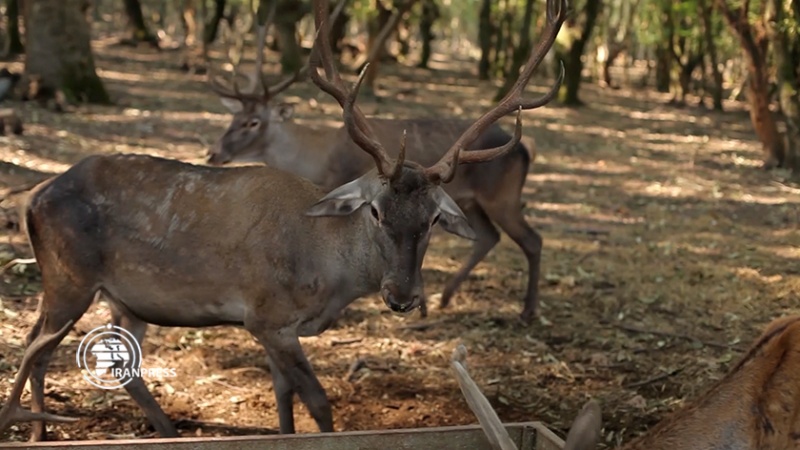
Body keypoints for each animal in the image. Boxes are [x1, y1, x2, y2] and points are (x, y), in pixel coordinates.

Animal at [206, 0, 556, 324]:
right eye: (233, 117)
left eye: (252, 122)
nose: (213, 152)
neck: (317, 159)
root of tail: (526, 148)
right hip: (472, 202)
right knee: (487, 237)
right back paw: (445, 298)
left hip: (503, 196)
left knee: (532, 240)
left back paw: (527, 310)